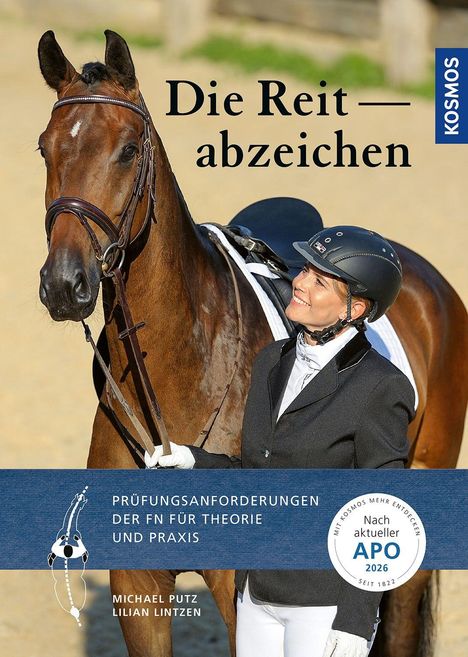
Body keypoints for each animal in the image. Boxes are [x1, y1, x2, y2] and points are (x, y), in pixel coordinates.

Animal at [37, 30, 467, 657]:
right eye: (45, 149)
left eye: (127, 150)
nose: (64, 285)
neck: (187, 365)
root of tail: (430, 282)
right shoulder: (137, 582)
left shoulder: (240, 587)